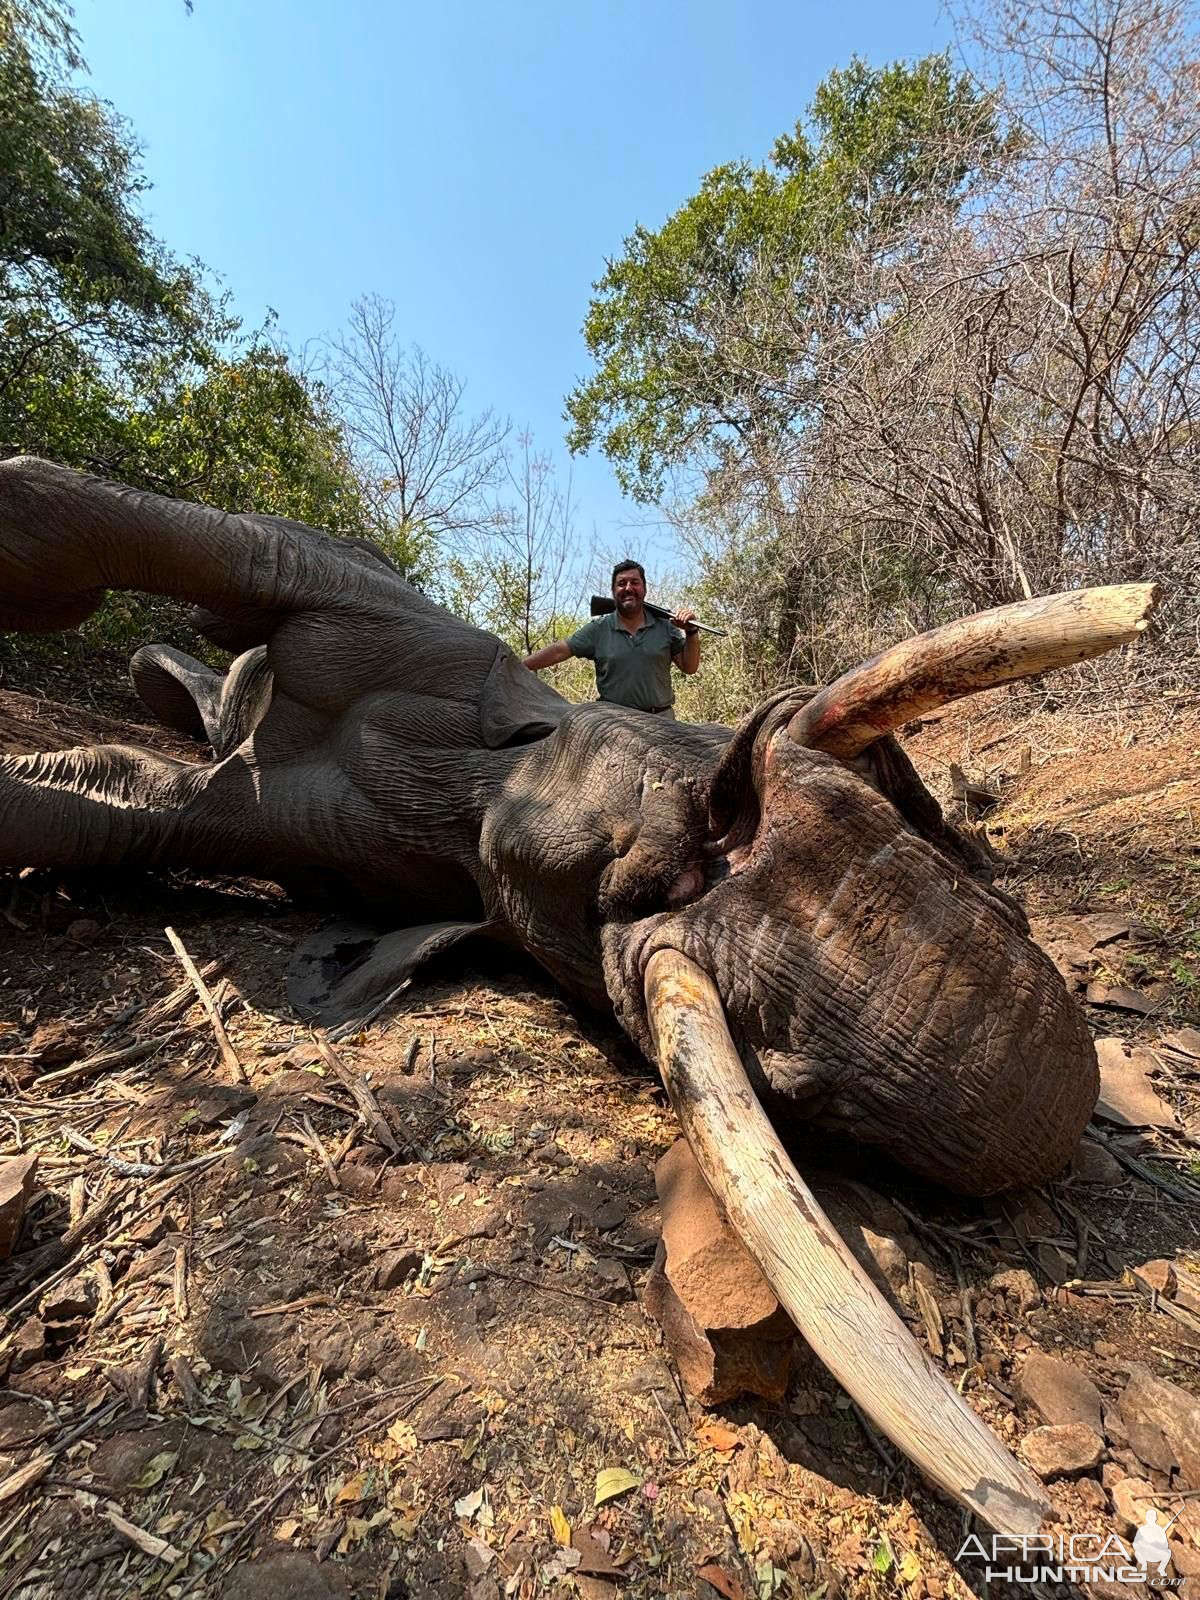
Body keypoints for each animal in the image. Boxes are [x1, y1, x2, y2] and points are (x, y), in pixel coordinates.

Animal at [0, 457, 1164, 1529]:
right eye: (654, 872)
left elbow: (110, 799)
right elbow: (248, 550)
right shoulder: (393, 616)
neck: (488, 778)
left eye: (807, 1100)